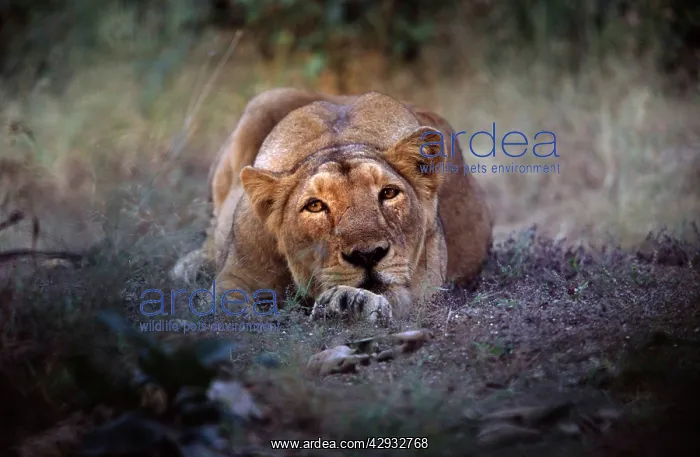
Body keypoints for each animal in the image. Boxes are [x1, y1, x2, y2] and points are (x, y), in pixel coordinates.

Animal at [171, 88, 493, 324]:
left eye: (389, 193)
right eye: (315, 206)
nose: (367, 255)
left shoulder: (422, 284)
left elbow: (396, 295)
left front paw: (351, 302)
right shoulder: (237, 273)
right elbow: (226, 301)